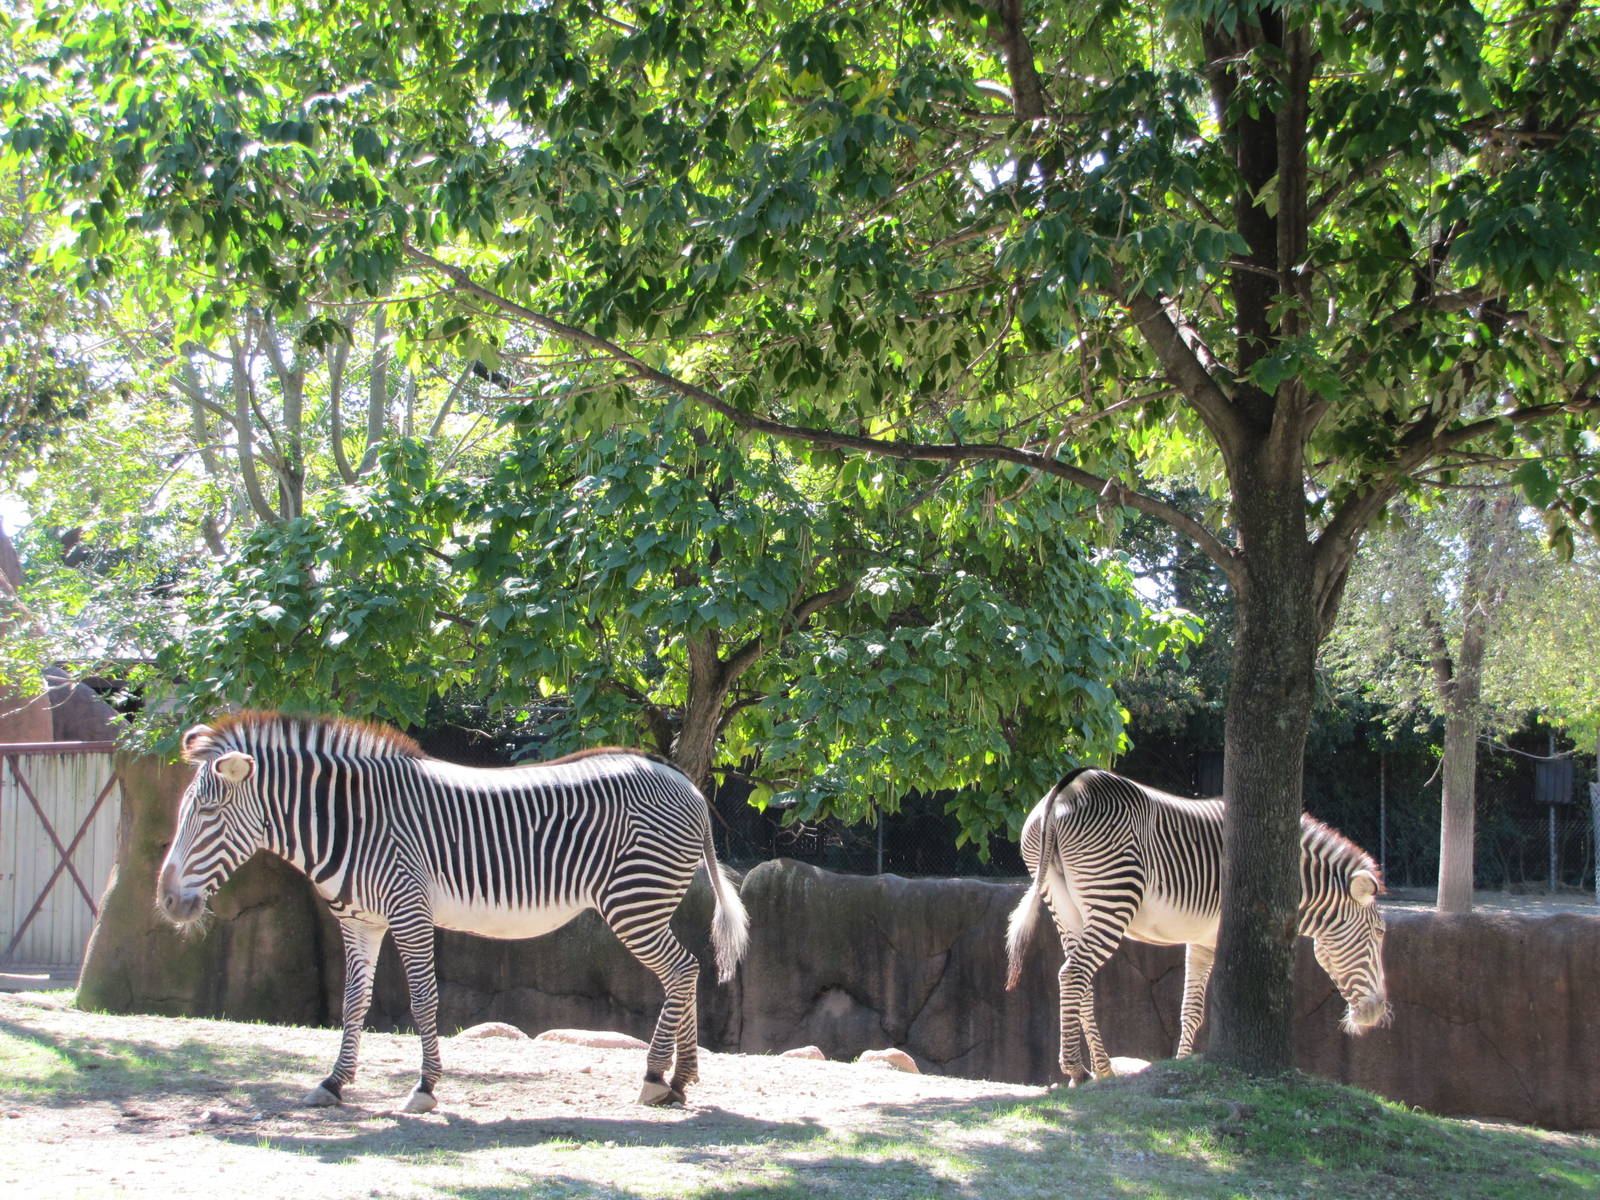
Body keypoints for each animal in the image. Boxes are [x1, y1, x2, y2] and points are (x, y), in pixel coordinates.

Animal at [156, 711, 749, 1112]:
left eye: (208, 813)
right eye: (183, 811)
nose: (166, 901)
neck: (352, 822)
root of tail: (686, 783)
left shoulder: (408, 909)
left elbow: (423, 1000)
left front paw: (424, 1087)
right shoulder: (360, 921)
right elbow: (353, 1003)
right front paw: (334, 1082)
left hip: (633, 900)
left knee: (681, 970)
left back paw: (655, 1077)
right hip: (648, 901)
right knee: (686, 971)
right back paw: (681, 1080)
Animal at [1004, 768, 1390, 1084]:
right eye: (1379, 934)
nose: (1378, 1014)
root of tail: (1062, 792)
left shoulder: (1198, 938)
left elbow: (1188, 1011)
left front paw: (1180, 1061)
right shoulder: (1213, 938)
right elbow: (1197, 1010)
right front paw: (1185, 1061)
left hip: (1065, 907)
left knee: (1078, 980)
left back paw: (1101, 1069)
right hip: (1113, 894)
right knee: (1073, 974)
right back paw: (1075, 1069)